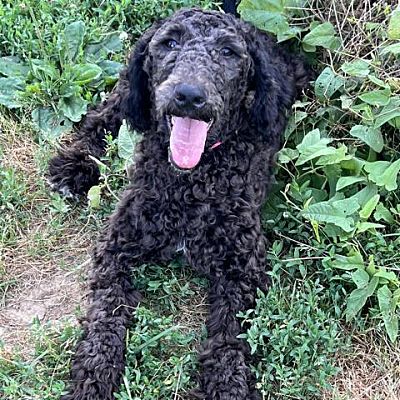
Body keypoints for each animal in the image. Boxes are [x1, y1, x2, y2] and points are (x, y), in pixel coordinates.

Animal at [49, 7, 306, 400]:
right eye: (170, 43)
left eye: (228, 52)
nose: (188, 95)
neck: (191, 181)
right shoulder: (116, 244)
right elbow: (106, 311)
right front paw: (94, 376)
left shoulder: (243, 268)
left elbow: (230, 336)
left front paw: (226, 386)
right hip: (128, 94)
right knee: (102, 117)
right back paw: (73, 167)